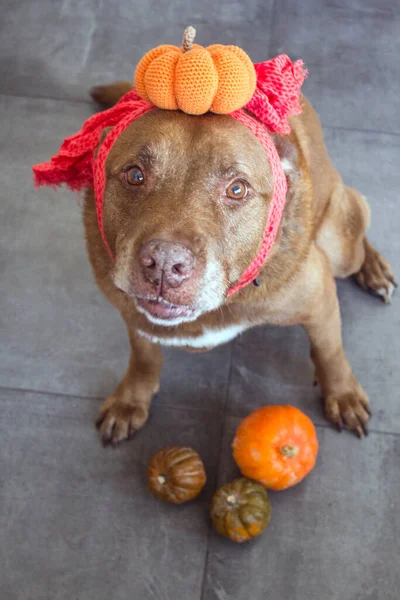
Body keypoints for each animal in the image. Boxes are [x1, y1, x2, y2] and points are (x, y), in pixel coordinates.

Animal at [84, 82, 394, 442]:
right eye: (134, 175)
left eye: (236, 189)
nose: (164, 262)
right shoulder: (132, 315)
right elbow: (144, 357)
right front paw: (131, 400)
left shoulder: (320, 300)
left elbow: (330, 352)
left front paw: (342, 395)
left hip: (340, 244)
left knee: (357, 221)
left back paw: (375, 269)